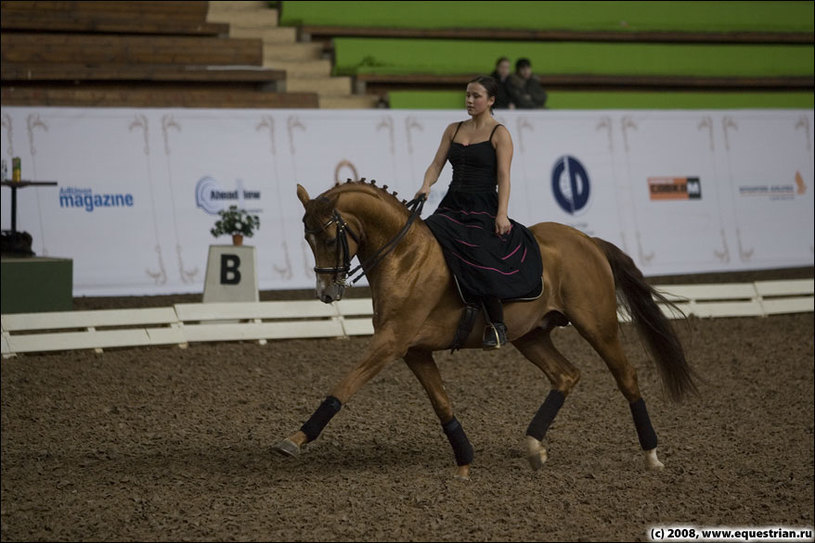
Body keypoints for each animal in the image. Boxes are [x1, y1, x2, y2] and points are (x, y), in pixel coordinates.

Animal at [276, 180, 696, 480]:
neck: (405, 256)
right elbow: (441, 403)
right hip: (531, 335)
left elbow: (344, 386)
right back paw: (534, 446)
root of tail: (586, 240)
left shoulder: (392, 342)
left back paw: (651, 455)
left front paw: (294, 440)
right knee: (566, 375)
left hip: (598, 326)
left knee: (626, 376)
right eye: (307, 238)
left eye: (329, 237)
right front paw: (464, 462)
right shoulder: (414, 350)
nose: (326, 293)